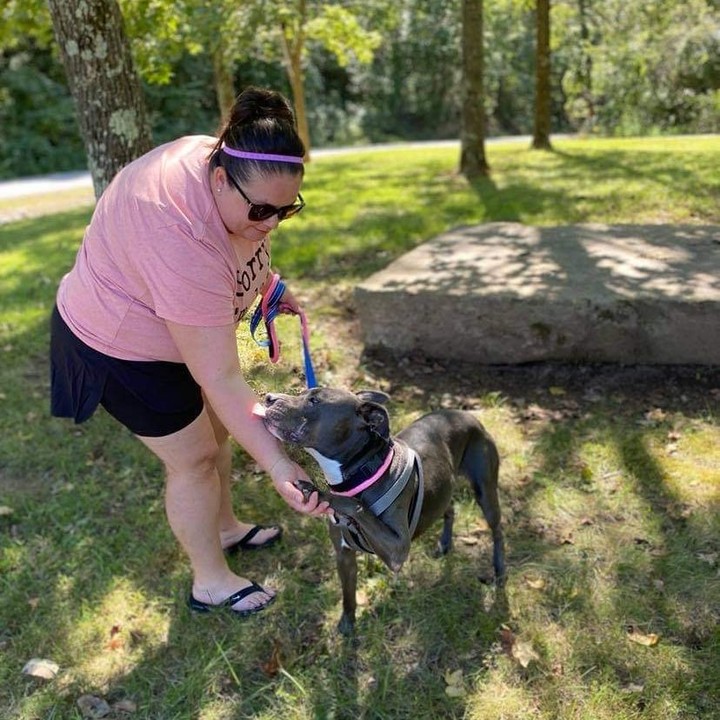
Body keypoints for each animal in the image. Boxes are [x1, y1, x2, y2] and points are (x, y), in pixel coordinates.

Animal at [260, 388, 506, 636]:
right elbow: (348, 596)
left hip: (485, 490)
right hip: (444, 486)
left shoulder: (397, 549)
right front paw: (348, 625)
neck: (363, 472)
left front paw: (319, 493)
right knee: (449, 508)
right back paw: (444, 544)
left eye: (314, 401)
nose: (268, 398)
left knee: (497, 529)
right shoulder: (344, 555)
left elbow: (353, 504)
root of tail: (467, 415)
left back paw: (500, 571)